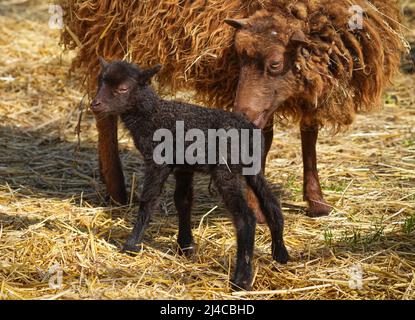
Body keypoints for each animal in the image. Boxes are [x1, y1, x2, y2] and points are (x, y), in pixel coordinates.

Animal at [60, 0, 408, 218]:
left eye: (275, 64)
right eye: (238, 57)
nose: (242, 113)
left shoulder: (314, 80)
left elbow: (309, 133)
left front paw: (316, 201)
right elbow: (262, 139)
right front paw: (256, 205)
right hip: (106, 30)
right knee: (103, 109)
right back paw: (117, 190)